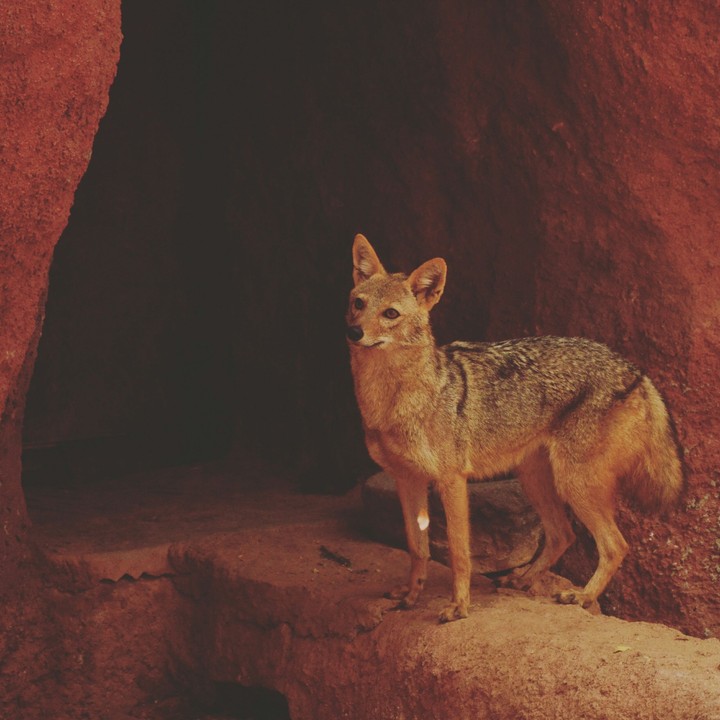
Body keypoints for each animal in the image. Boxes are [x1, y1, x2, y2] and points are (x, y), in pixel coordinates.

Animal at [346, 233, 683, 623]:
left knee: (615, 545)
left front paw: (459, 606)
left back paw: (582, 596)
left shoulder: (452, 481)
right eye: (358, 303)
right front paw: (410, 595)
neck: (392, 403)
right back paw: (522, 580)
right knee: (563, 535)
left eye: (390, 314)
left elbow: (459, 553)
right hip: (536, 480)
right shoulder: (407, 480)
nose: (353, 331)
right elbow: (417, 548)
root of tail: (634, 369)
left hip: (574, 485)